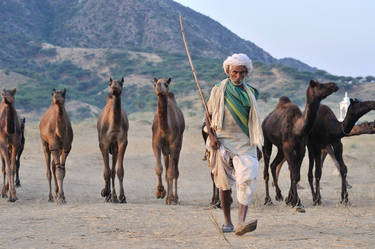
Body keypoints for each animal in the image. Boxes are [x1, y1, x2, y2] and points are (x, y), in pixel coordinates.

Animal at [262, 80, 340, 208]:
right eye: (319, 85)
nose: (334, 85)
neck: (297, 128)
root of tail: (266, 119)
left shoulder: (301, 148)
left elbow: (296, 175)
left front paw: (294, 200)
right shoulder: (288, 147)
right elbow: (293, 174)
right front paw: (295, 201)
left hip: (280, 148)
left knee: (273, 165)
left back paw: (279, 195)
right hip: (267, 139)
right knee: (266, 168)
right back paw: (268, 200)